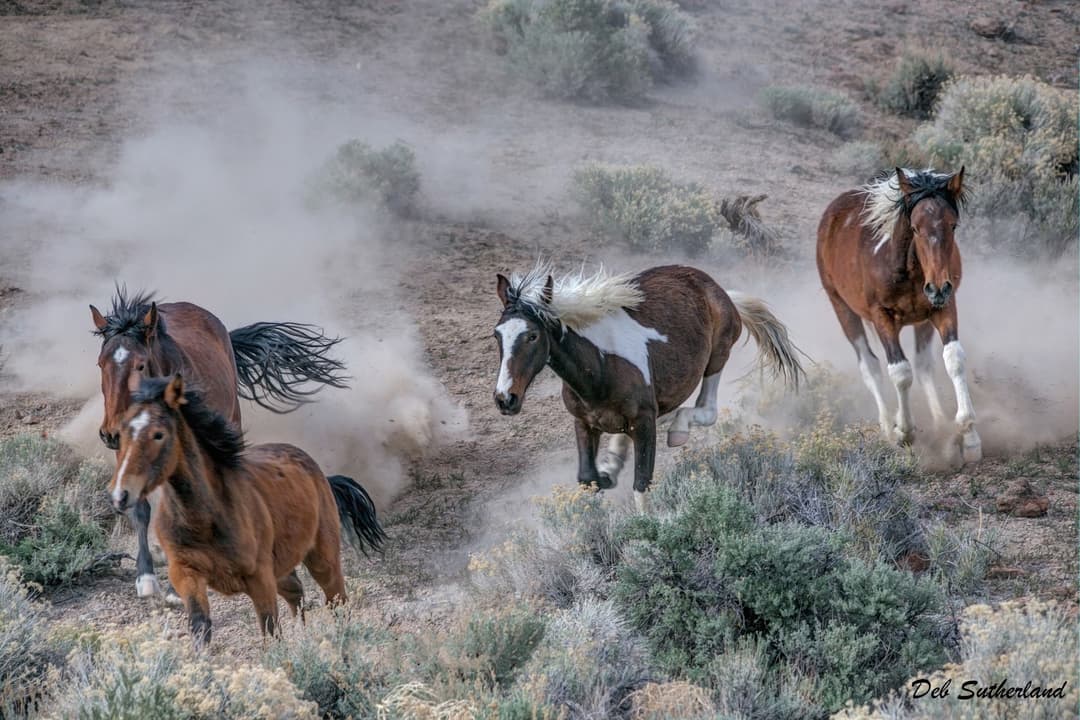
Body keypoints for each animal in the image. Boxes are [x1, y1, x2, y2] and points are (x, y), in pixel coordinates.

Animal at [108, 374, 386, 647]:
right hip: (282, 568)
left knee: (337, 600)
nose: (121, 494)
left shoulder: (259, 579)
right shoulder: (185, 573)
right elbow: (201, 626)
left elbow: (270, 630)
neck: (203, 519)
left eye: (158, 434)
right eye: (121, 433)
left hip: (321, 557)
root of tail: (321, 474)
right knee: (296, 591)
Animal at [491, 263, 805, 511]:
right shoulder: (583, 422)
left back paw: (677, 430)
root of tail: (722, 292)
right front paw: (604, 475)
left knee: (707, 410)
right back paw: (613, 463)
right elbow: (587, 479)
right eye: (497, 335)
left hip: (717, 356)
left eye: (532, 335)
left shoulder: (643, 423)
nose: (505, 399)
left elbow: (641, 485)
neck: (600, 367)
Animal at [816, 167, 981, 463]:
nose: (937, 287)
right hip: (843, 309)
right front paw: (904, 431)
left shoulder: (943, 307)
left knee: (923, 364)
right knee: (869, 366)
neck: (909, 270)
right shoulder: (882, 317)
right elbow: (900, 371)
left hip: (923, 320)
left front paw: (969, 434)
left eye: (952, 225)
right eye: (915, 227)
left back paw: (940, 424)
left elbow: (953, 358)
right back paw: (886, 427)